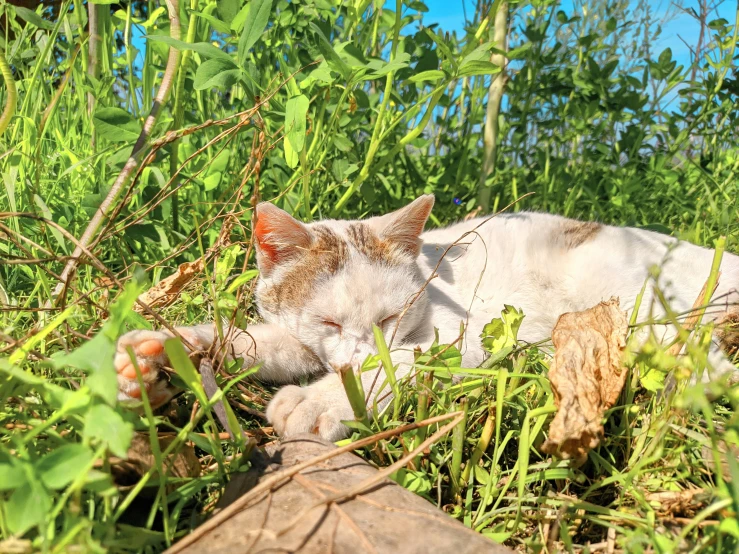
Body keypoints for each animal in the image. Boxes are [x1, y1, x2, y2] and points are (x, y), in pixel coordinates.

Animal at [111, 194, 739, 440]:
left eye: (391, 319)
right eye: (330, 324)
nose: (359, 355)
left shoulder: (469, 338)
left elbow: (407, 364)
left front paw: (320, 401)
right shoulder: (299, 340)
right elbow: (253, 343)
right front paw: (154, 358)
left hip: (635, 298)